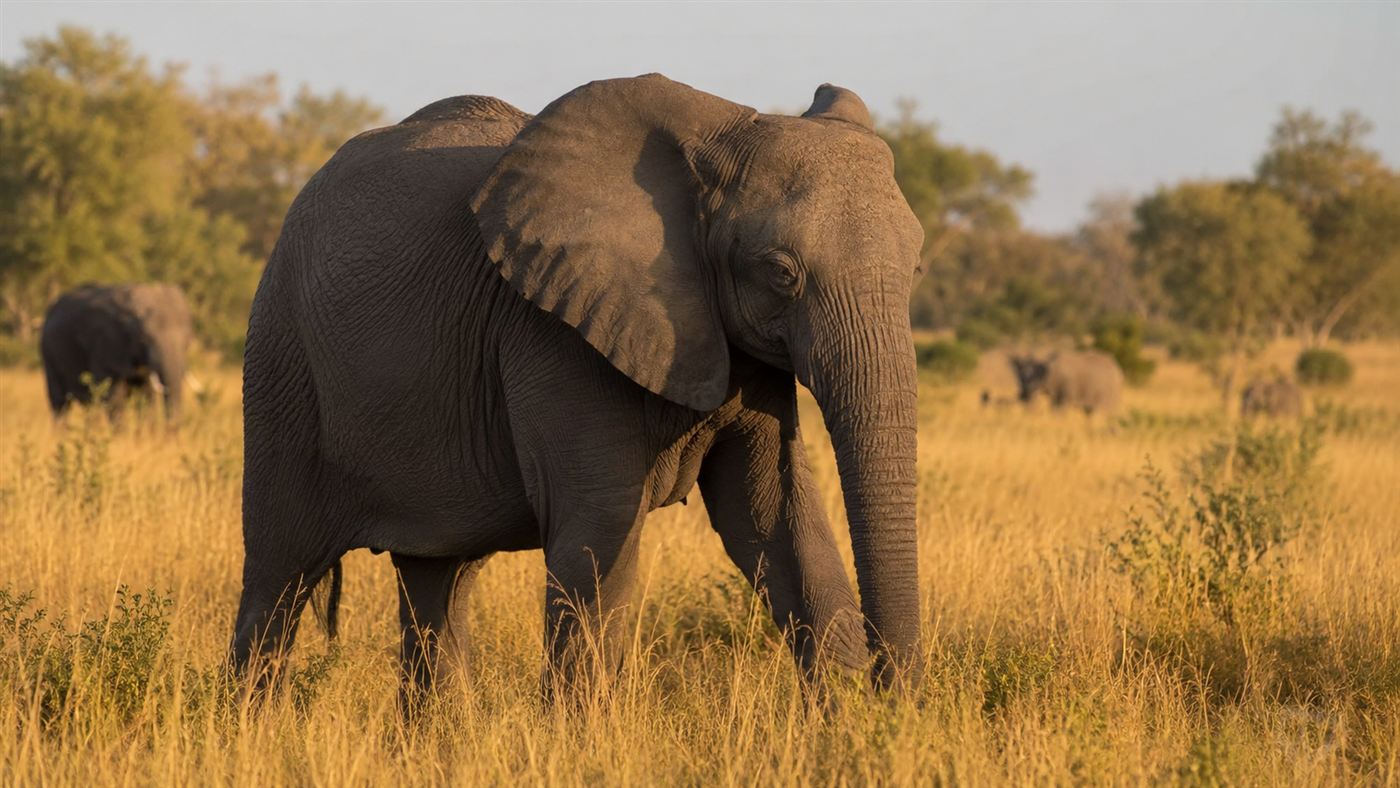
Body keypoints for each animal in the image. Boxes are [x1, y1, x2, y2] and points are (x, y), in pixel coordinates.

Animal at [40, 283, 193, 422]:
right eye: (144, 338)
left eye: (188, 338)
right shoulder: (106, 345)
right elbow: (114, 397)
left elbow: (146, 395)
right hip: (48, 354)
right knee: (59, 403)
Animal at [231, 75, 926, 701]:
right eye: (782, 273)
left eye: (916, 267)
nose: (892, 691)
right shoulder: (553, 329)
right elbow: (599, 523)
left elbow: (772, 516)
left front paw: (845, 724)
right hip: (282, 358)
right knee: (279, 574)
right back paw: (251, 725)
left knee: (438, 581)